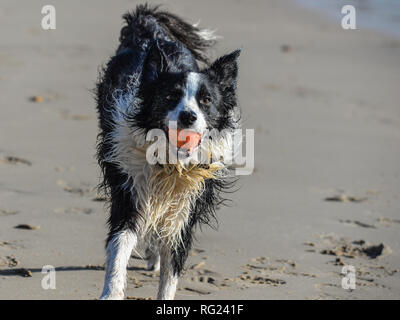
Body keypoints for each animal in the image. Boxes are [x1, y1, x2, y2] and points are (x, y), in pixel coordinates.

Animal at [96, 4, 241, 300]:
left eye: (206, 100)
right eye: (170, 96)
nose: (188, 116)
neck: (170, 164)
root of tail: (148, 26)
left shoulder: (187, 206)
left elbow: (171, 271)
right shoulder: (129, 191)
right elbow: (119, 247)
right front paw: (111, 293)